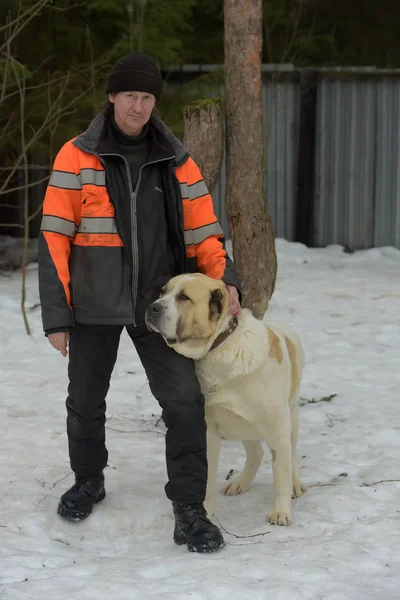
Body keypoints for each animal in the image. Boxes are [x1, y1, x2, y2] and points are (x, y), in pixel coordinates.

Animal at [147, 274, 306, 524]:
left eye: (184, 297)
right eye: (163, 292)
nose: (153, 307)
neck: (219, 345)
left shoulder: (278, 427)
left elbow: (281, 474)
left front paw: (281, 512)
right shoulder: (208, 431)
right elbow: (207, 479)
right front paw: (206, 512)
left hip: (290, 417)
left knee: (291, 456)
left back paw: (295, 485)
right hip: (244, 425)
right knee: (257, 453)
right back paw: (239, 483)